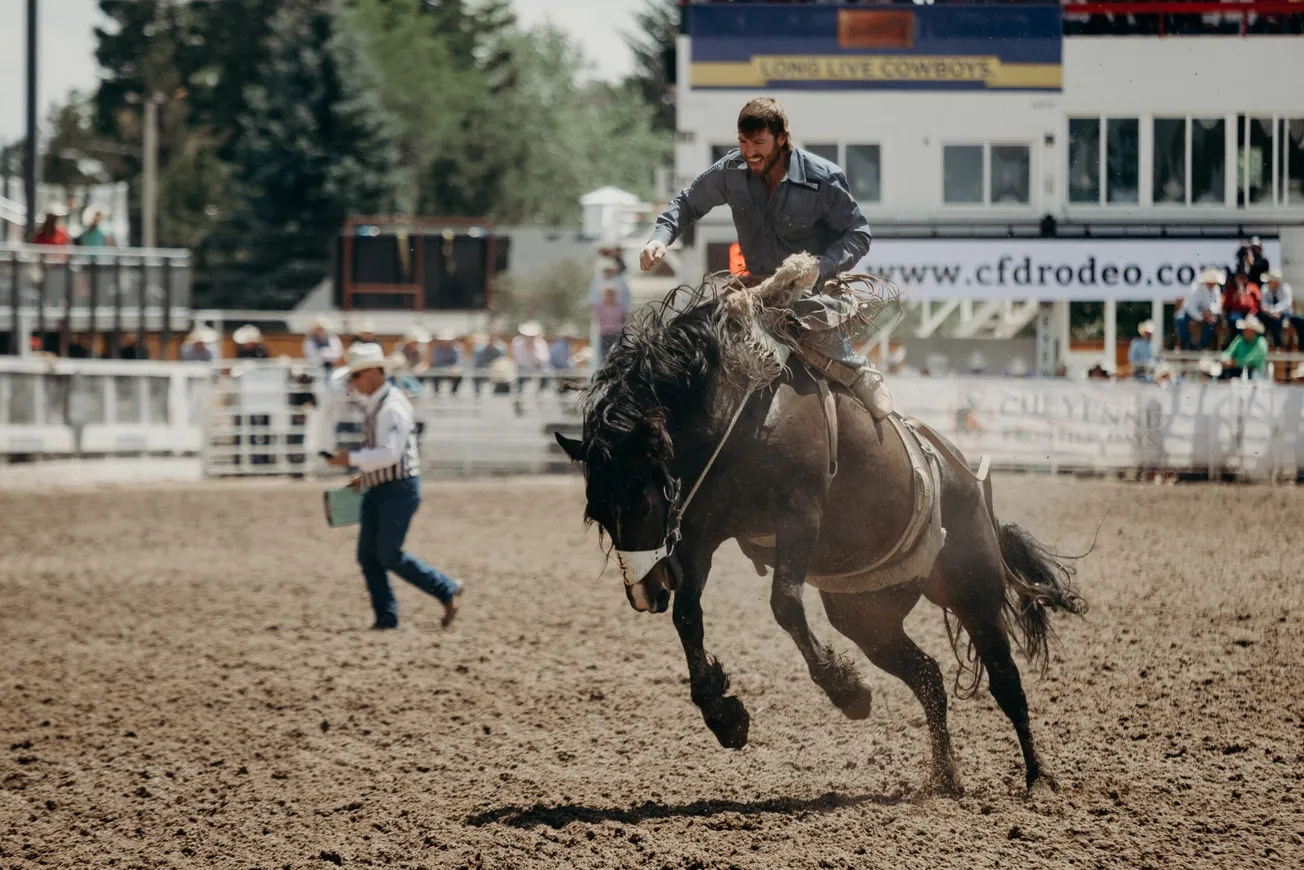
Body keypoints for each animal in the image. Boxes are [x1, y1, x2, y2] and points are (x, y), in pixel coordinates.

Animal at [555, 253, 1084, 798]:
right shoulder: (701, 535)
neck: (742, 410)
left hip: (974, 591)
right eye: (597, 513)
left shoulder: (799, 517)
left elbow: (785, 603)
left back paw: (1038, 778)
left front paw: (847, 691)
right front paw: (725, 716)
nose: (643, 593)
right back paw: (945, 778)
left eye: (639, 501)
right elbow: (687, 616)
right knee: (929, 677)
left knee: (1005, 680)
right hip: (867, 614)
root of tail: (969, 479)